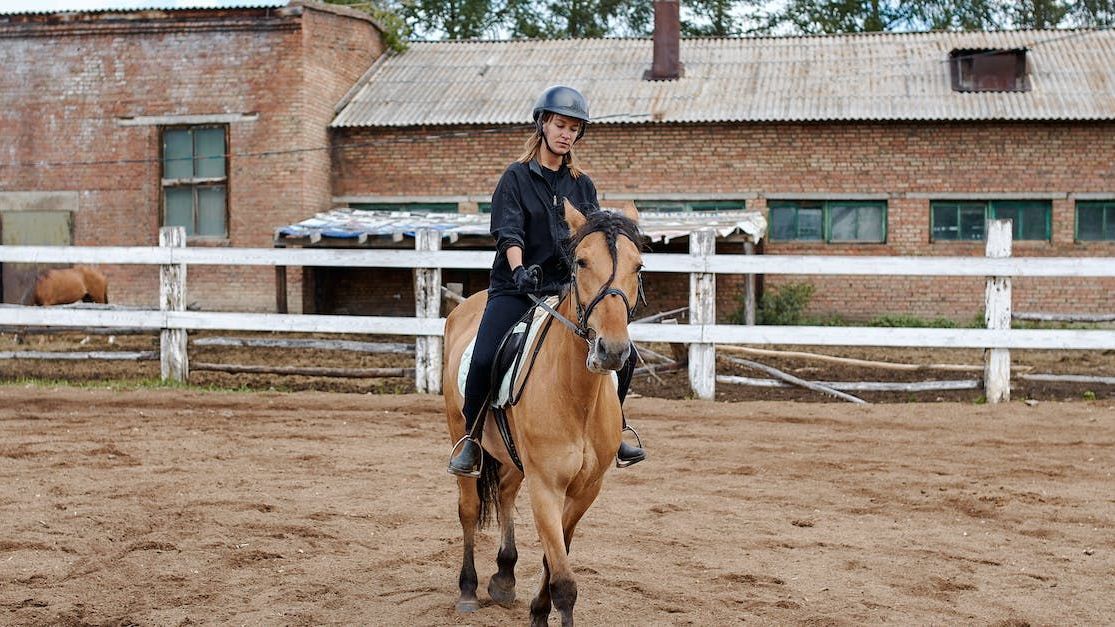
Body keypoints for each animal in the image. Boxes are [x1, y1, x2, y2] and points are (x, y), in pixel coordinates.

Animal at [443, 200, 644, 626]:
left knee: (504, 493)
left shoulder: (585, 490)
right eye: (581, 262)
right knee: (469, 508)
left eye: (638, 266)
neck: (576, 396)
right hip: (460, 432)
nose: (612, 350)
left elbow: (557, 557)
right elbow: (564, 581)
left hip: (513, 458)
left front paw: (538, 609)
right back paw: (468, 589)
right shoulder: (547, 487)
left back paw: (504, 576)